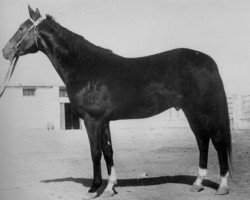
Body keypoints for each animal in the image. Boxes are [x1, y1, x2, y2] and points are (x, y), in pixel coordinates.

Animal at [2, 5, 232, 197]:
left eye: (22, 28)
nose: (5, 51)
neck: (86, 67)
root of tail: (208, 61)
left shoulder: (92, 120)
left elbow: (95, 152)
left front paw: (94, 189)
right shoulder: (104, 121)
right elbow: (108, 151)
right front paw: (110, 187)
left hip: (205, 111)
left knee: (218, 141)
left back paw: (222, 186)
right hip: (191, 111)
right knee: (202, 140)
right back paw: (198, 183)